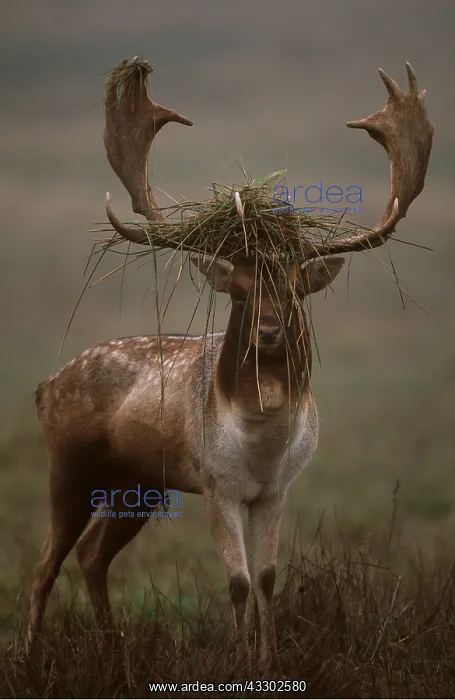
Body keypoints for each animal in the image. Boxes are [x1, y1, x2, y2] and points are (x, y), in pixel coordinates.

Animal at [28, 58, 433, 671]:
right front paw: (238, 663)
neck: (260, 442)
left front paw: (268, 661)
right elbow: (238, 582)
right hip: (69, 466)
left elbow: (266, 578)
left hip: (138, 483)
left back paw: (115, 652)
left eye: (292, 290)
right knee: (44, 562)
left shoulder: (276, 490)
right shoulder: (216, 484)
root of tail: (46, 386)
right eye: (240, 290)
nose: (267, 332)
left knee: (93, 555)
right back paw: (29, 658)